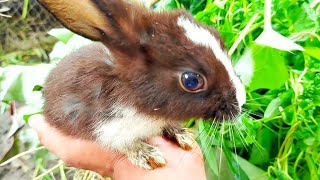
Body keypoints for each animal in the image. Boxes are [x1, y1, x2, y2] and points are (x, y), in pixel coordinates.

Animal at [39, 0, 245, 170]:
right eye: (191, 80)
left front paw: (182, 135)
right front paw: (148, 156)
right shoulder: (107, 128)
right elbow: (124, 144)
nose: (241, 101)